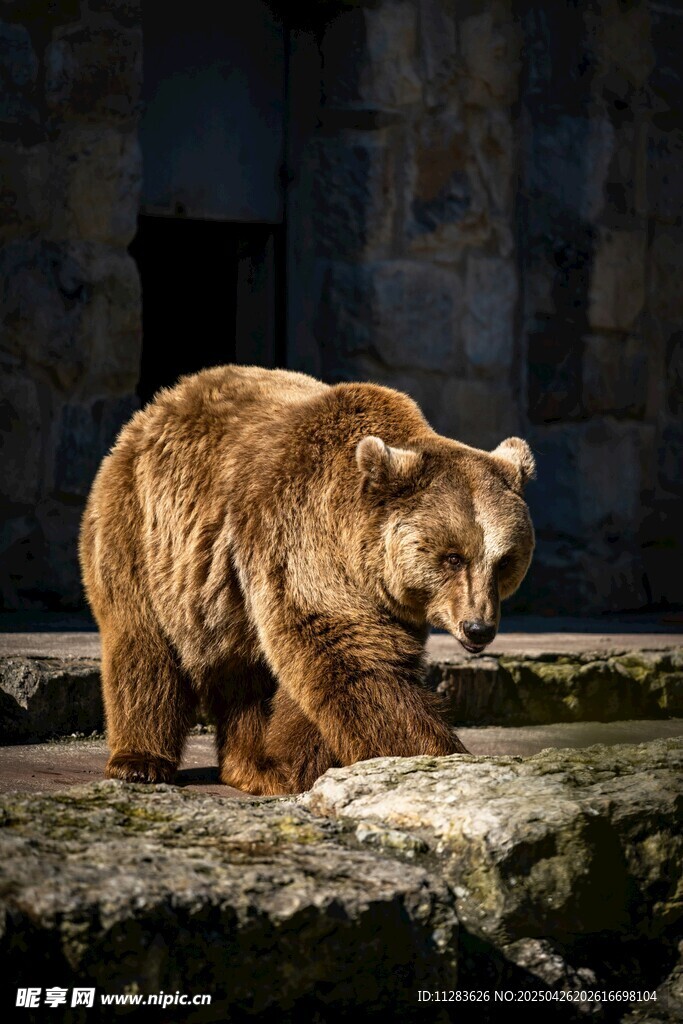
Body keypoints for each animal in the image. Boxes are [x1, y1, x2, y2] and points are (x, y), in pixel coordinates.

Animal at [79, 365, 535, 795]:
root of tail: (161, 403)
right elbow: (350, 656)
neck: (359, 551)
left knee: (246, 674)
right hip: (144, 528)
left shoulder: (383, 599)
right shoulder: (301, 536)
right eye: (453, 557)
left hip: (226, 593)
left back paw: (251, 764)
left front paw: (295, 763)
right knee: (143, 643)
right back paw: (140, 761)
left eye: (504, 561)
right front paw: (435, 755)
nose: (478, 628)